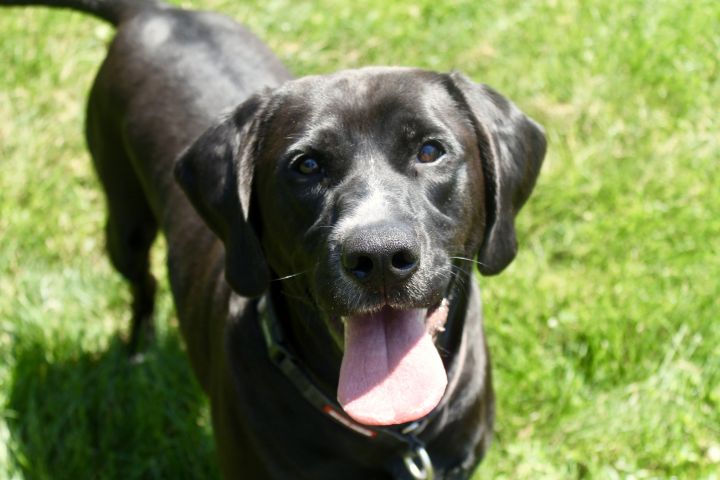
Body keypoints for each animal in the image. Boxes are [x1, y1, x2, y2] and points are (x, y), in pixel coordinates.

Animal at [4, 1, 544, 478]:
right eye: (306, 165)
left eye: (430, 150)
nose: (380, 256)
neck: (392, 432)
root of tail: (155, 12)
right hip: (125, 219)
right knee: (142, 283)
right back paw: (137, 349)